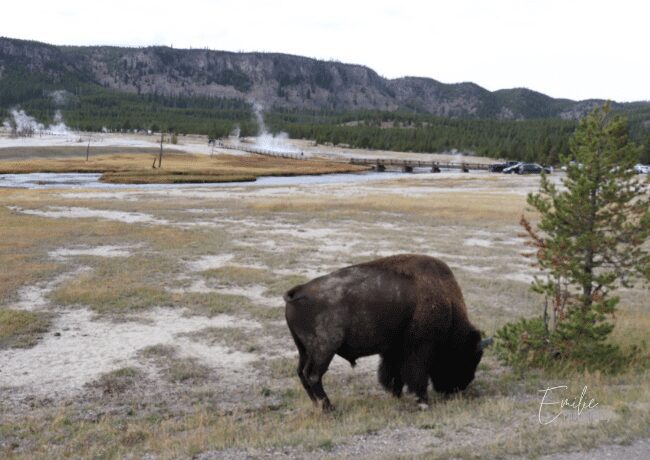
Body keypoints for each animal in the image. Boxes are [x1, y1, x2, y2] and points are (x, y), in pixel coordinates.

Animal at [280, 253, 488, 412]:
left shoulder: (394, 350)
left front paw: (396, 394)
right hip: (324, 350)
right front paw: (423, 402)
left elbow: (393, 373)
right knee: (314, 376)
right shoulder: (419, 350)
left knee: (302, 373)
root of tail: (298, 291)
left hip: (304, 350)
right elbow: (416, 375)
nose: (459, 388)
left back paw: (318, 405)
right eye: (467, 357)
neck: (447, 305)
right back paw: (329, 408)